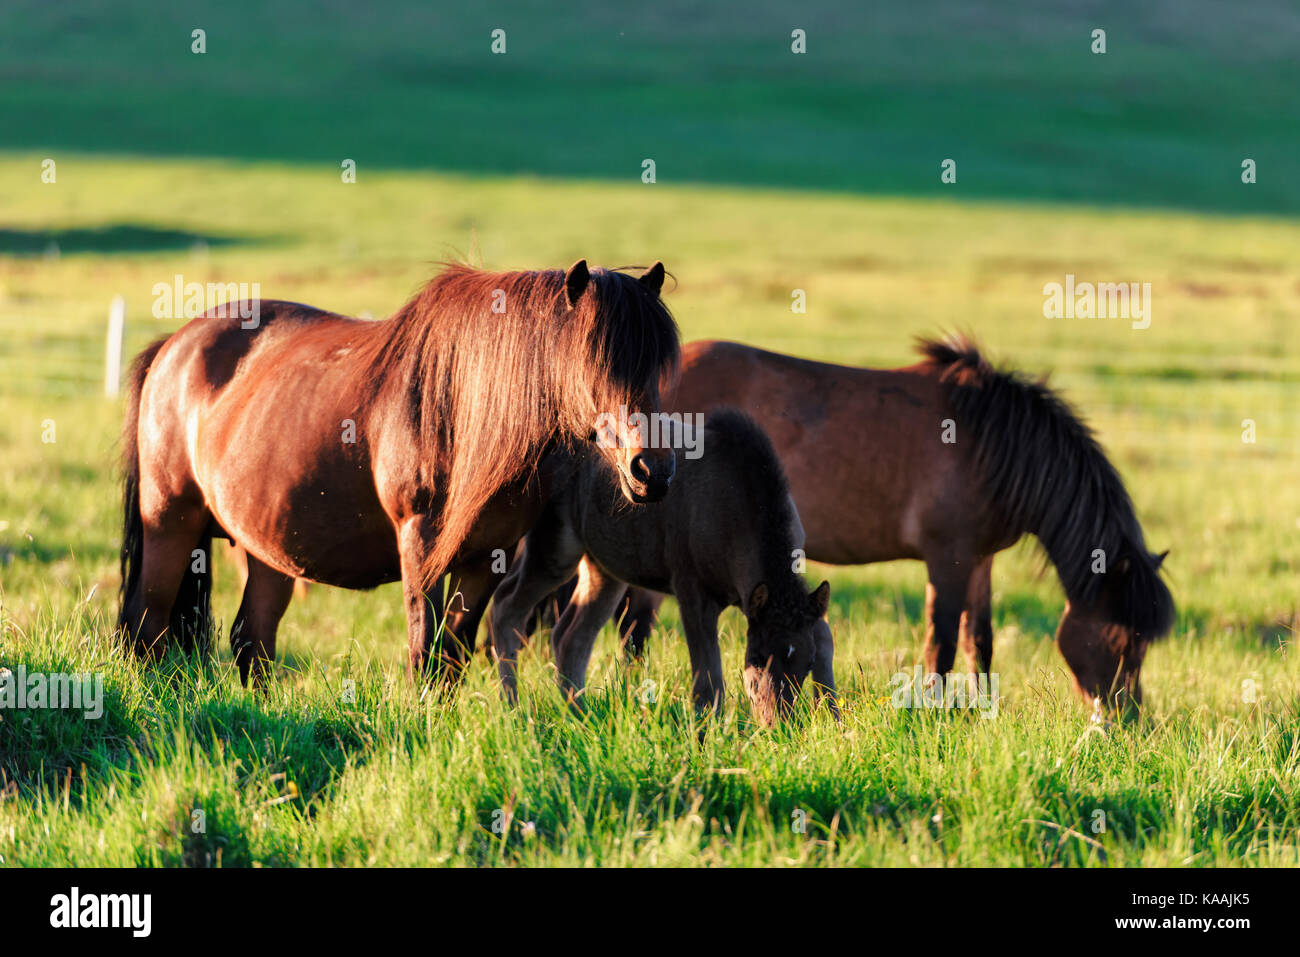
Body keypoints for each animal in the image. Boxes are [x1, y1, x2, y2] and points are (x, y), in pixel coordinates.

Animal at [119, 257, 681, 686]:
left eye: (656, 364)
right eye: (597, 361)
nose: (652, 469)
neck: (464, 411)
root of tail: (174, 346)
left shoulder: (485, 559)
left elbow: (452, 658)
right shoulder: (420, 546)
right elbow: (421, 655)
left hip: (267, 550)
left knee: (251, 642)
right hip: (171, 524)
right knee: (148, 630)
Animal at [488, 408, 832, 722]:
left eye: (807, 663)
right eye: (758, 657)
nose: (778, 724)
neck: (738, 504)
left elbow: (824, 639)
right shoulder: (692, 591)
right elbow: (708, 682)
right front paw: (707, 737)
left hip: (604, 569)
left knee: (570, 637)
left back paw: (580, 718)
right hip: (555, 549)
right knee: (506, 607)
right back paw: (514, 710)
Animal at [618, 332, 1180, 712]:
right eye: (1124, 642)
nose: (1126, 722)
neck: (991, 443)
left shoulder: (980, 561)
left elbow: (980, 643)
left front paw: (983, 711)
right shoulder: (947, 558)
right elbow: (942, 644)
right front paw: (933, 714)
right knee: (633, 625)